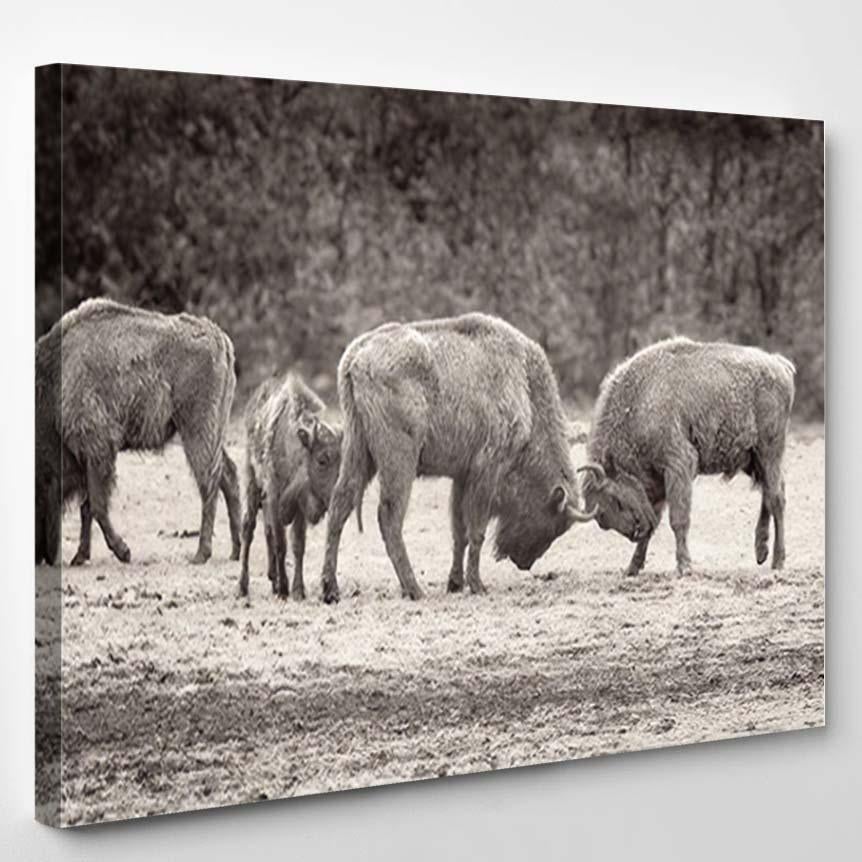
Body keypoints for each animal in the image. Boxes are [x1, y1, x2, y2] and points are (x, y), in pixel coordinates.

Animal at [35, 300, 241, 572]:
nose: (41, 557)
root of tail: (221, 340)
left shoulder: (98, 450)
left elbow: (97, 506)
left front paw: (123, 552)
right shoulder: (92, 457)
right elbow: (88, 506)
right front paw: (80, 556)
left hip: (196, 431)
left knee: (210, 481)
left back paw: (201, 554)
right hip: (211, 432)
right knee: (228, 474)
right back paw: (235, 550)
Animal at [240, 372, 344, 600]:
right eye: (322, 460)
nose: (335, 496)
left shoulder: (299, 508)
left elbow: (297, 546)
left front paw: (298, 590)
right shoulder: (274, 497)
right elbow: (281, 544)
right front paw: (284, 589)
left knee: (267, 531)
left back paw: (272, 580)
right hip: (252, 484)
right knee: (248, 529)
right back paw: (243, 587)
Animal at [318, 314, 600, 604]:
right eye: (552, 523)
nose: (524, 562)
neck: (524, 383)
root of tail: (356, 355)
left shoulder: (462, 476)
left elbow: (459, 532)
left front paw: (455, 583)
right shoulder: (486, 471)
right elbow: (476, 531)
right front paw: (477, 585)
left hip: (358, 451)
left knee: (340, 505)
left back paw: (331, 590)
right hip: (399, 460)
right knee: (389, 517)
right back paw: (414, 589)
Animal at [580, 338, 796, 580]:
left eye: (616, 500)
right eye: (603, 518)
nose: (636, 531)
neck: (638, 403)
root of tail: (780, 364)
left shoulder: (678, 466)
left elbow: (678, 520)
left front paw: (684, 567)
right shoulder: (657, 484)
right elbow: (655, 523)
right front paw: (632, 567)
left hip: (769, 451)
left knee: (776, 498)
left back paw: (777, 561)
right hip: (752, 459)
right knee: (768, 493)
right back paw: (761, 551)